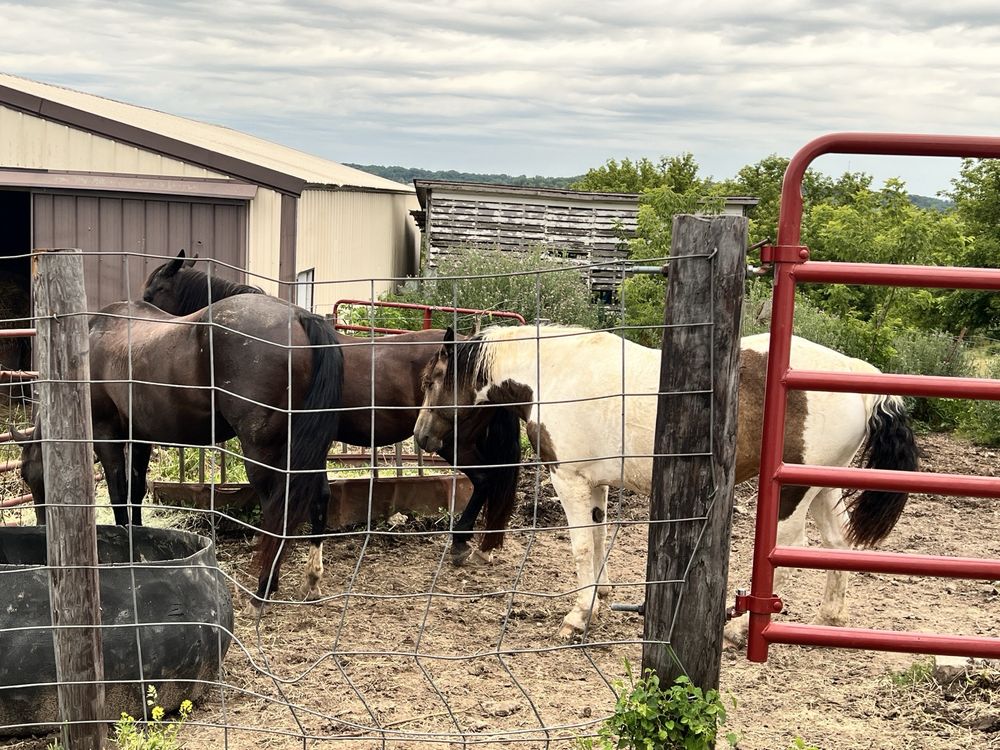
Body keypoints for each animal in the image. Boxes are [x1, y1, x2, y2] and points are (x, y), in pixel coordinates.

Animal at [15, 294, 344, 610]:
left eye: (26, 475)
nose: (41, 529)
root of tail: (299, 316)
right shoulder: (140, 438)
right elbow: (135, 492)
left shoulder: (106, 435)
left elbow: (118, 495)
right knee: (319, 497)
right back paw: (311, 581)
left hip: (265, 453)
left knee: (279, 511)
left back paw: (262, 591)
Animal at [413, 325, 919, 640]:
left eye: (433, 380)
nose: (421, 437)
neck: (555, 373)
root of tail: (857, 373)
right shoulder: (596, 483)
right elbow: (599, 538)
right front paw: (601, 598)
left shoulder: (569, 478)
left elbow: (581, 546)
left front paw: (579, 616)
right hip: (821, 489)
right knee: (838, 545)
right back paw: (830, 615)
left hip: (792, 497)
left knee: (791, 550)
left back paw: (739, 630)